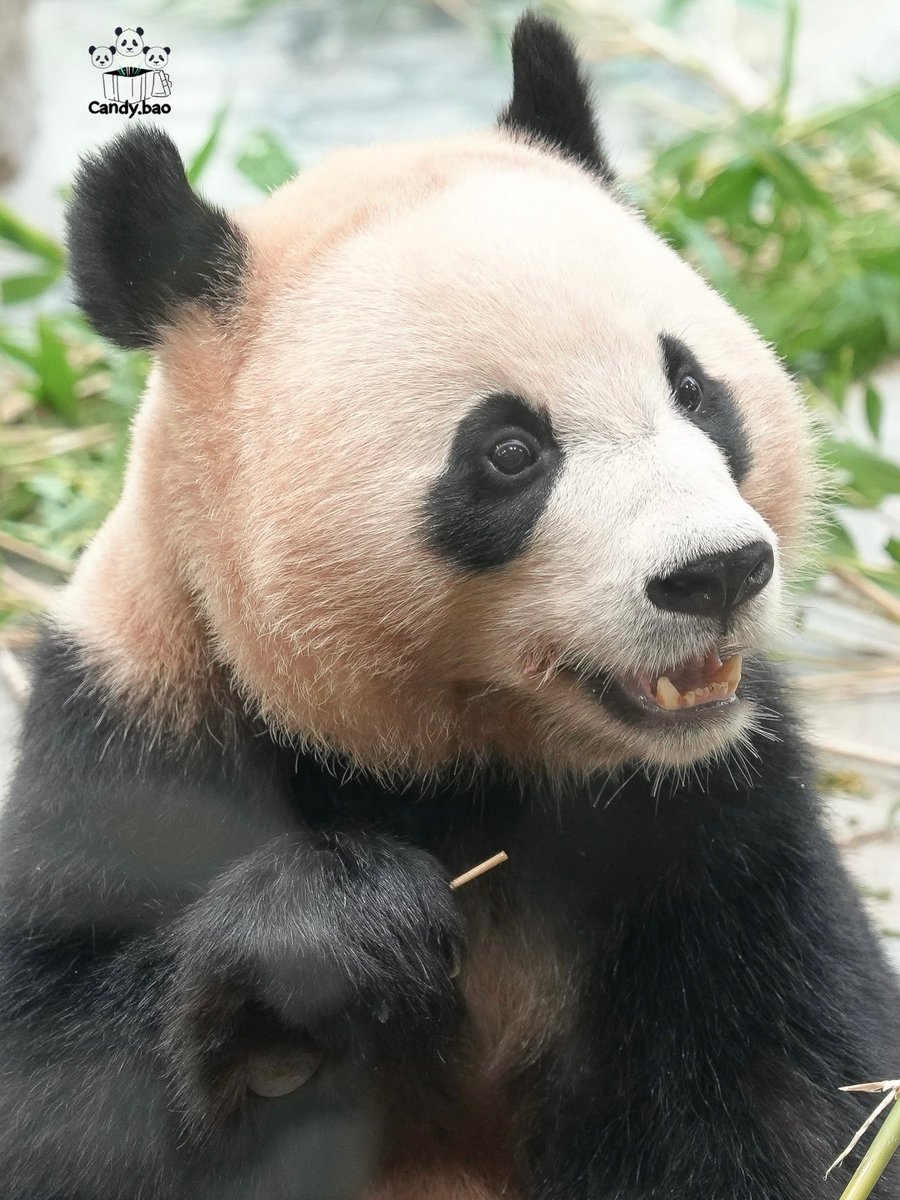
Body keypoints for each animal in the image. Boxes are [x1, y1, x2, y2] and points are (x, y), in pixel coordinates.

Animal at [1, 14, 897, 1200]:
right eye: (510, 451)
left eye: (694, 389)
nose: (715, 574)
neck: (463, 768)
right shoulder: (130, 729)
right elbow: (52, 1077)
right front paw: (336, 938)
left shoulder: (716, 816)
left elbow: (802, 1090)